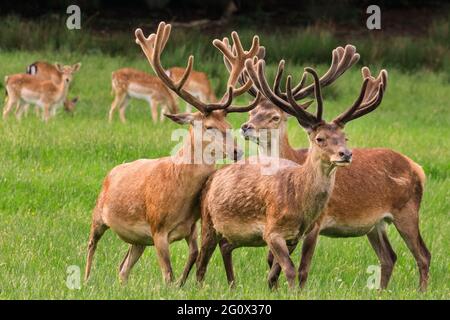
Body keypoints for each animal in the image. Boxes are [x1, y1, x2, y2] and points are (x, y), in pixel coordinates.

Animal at [85, 22, 262, 284]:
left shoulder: (191, 227)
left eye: (229, 126)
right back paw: (86, 279)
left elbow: (193, 255)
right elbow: (167, 272)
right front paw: (172, 284)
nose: (237, 151)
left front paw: (182, 283)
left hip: (139, 240)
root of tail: (111, 172)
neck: (178, 192)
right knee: (91, 244)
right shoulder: (158, 227)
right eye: (209, 126)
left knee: (123, 266)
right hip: (98, 213)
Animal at [196, 56, 386, 288]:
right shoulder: (273, 231)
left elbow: (290, 269)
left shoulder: (300, 233)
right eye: (320, 138)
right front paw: (287, 289)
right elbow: (288, 268)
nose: (346, 154)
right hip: (209, 221)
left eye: (345, 137)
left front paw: (278, 287)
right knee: (204, 257)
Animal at [243, 66, 428, 292]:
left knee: (423, 255)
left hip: (407, 211)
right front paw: (274, 287)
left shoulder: (316, 223)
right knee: (389, 257)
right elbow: (273, 260)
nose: (246, 126)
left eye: (275, 117)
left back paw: (421, 291)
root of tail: (417, 168)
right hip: (376, 224)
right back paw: (381, 292)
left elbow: (301, 266)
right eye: (251, 112)